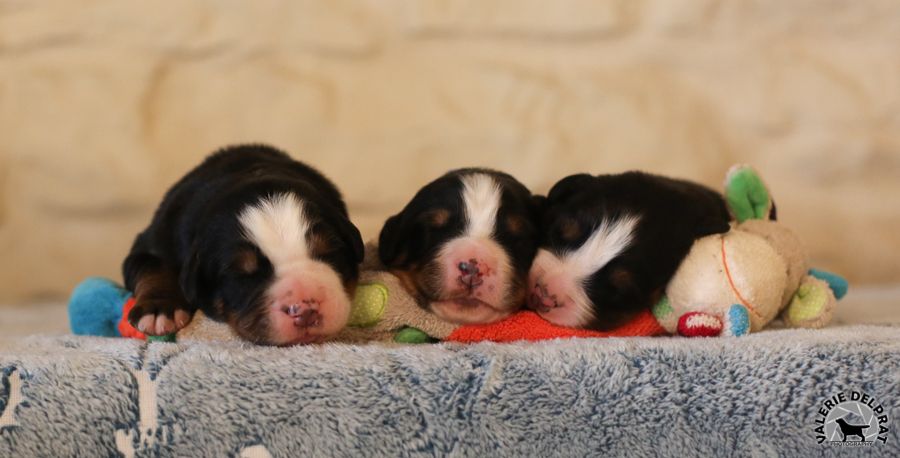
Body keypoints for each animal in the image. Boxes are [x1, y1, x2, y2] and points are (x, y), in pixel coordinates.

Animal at [122, 145, 362, 346]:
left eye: (330, 253)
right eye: (241, 276)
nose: (304, 310)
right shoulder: (154, 240)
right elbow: (155, 267)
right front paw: (159, 310)